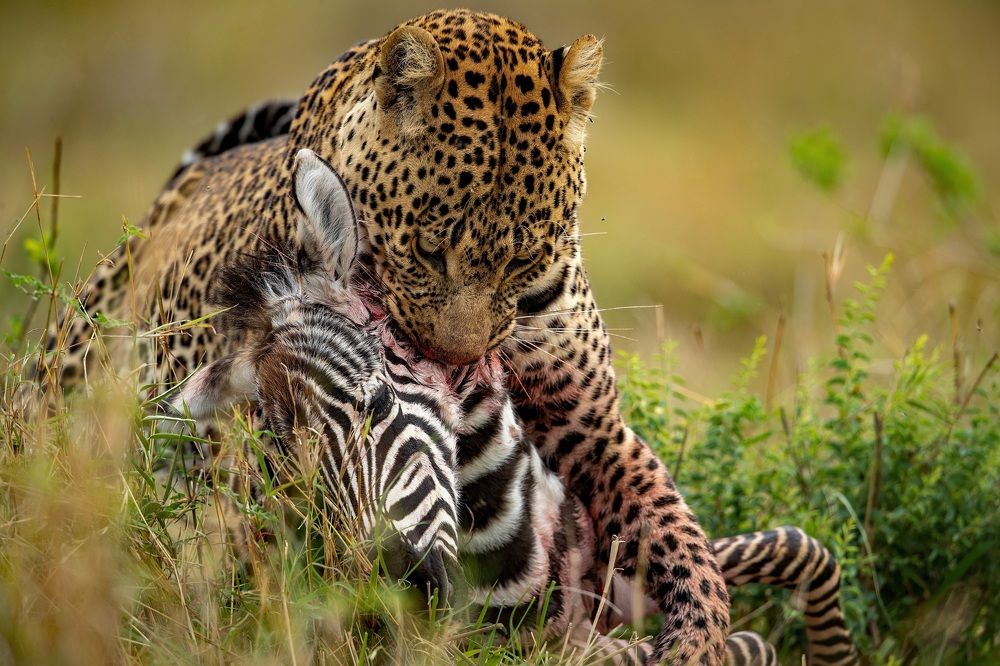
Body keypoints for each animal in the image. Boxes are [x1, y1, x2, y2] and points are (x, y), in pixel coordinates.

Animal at [44, 10, 731, 663]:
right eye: (428, 251)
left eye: (524, 258)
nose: (464, 366)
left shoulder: (593, 429)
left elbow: (681, 541)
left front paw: (696, 641)